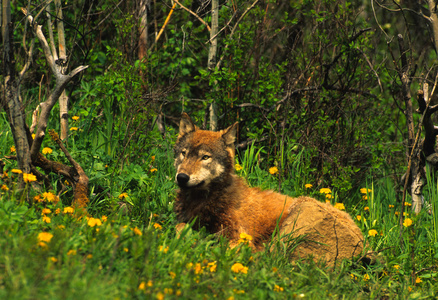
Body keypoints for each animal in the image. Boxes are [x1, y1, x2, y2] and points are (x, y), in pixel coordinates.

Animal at [173, 113, 364, 264]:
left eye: (205, 157)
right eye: (184, 153)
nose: (182, 177)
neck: (206, 199)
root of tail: (362, 243)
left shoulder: (239, 237)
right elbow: (180, 227)